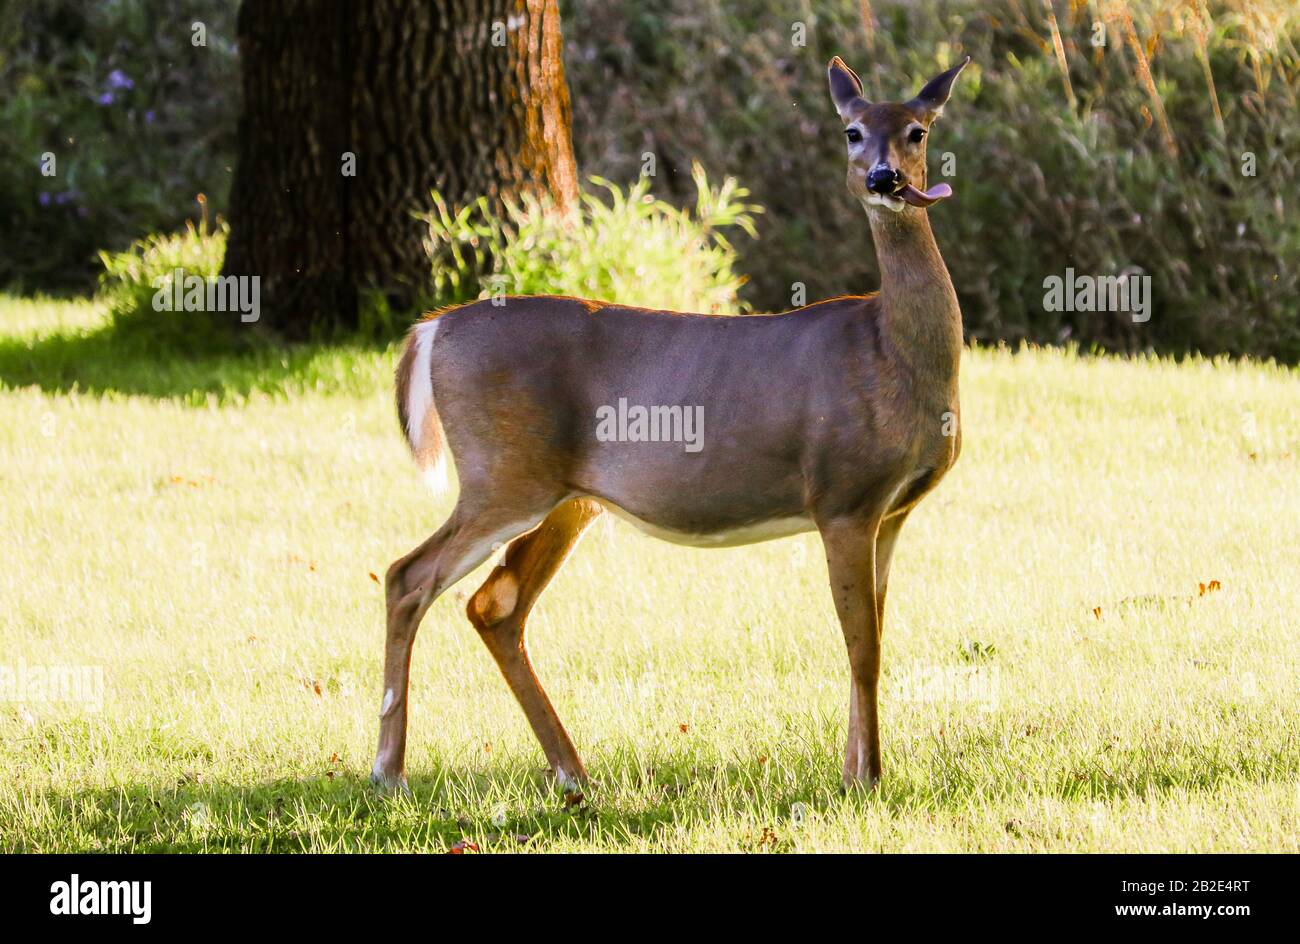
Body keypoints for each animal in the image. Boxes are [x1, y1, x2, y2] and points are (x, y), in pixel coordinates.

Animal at [371, 51, 972, 790]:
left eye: (918, 130)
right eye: (852, 131)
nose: (884, 178)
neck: (891, 351)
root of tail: (431, 329)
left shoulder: (892, 512)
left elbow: (876, 640)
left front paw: (859, 770)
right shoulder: (842, 495)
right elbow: (861, 646)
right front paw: (865, 780)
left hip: (567, 498)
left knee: (494, 605)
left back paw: (571, 771)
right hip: (502, 474)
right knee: (408, 576)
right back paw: (390, 771)